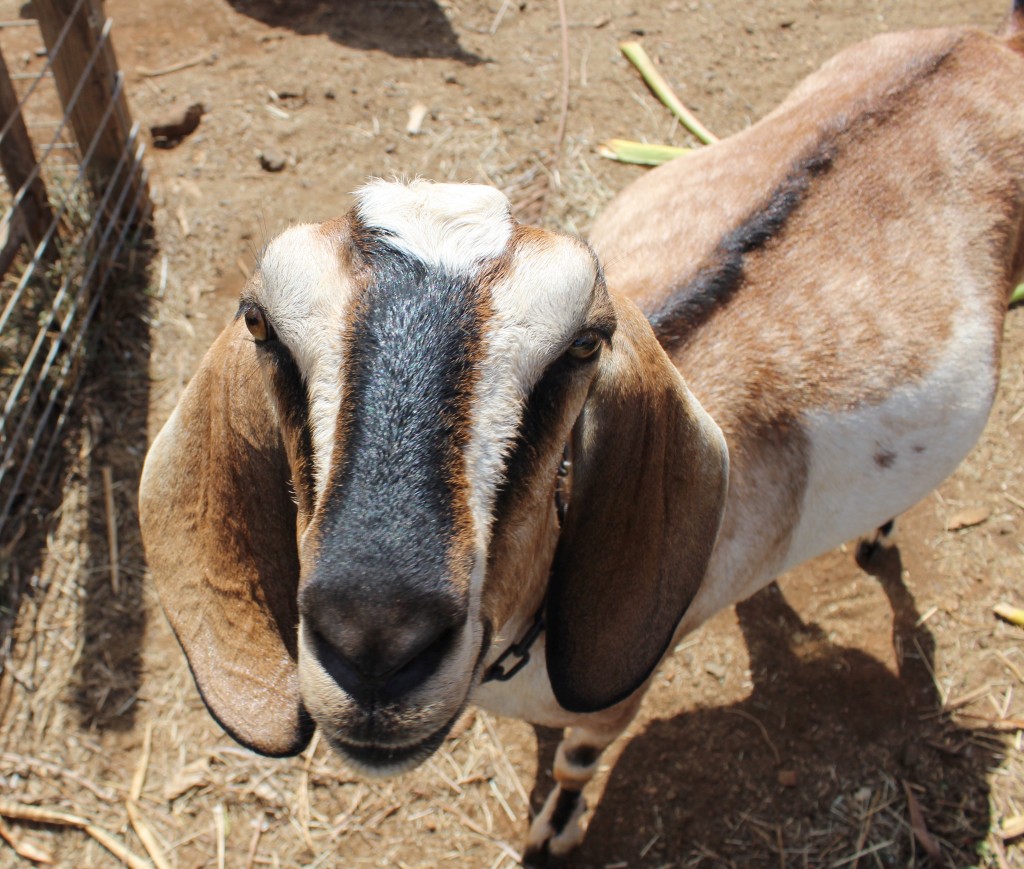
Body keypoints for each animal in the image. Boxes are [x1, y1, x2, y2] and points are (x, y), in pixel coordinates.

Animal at [140, 5, 1024, 859]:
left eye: (584, 344)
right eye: (260, 323)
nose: (377, 640)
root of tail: (983, 41)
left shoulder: (617, 700)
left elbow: (574, 763)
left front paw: (551, 833)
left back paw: (878, 537)